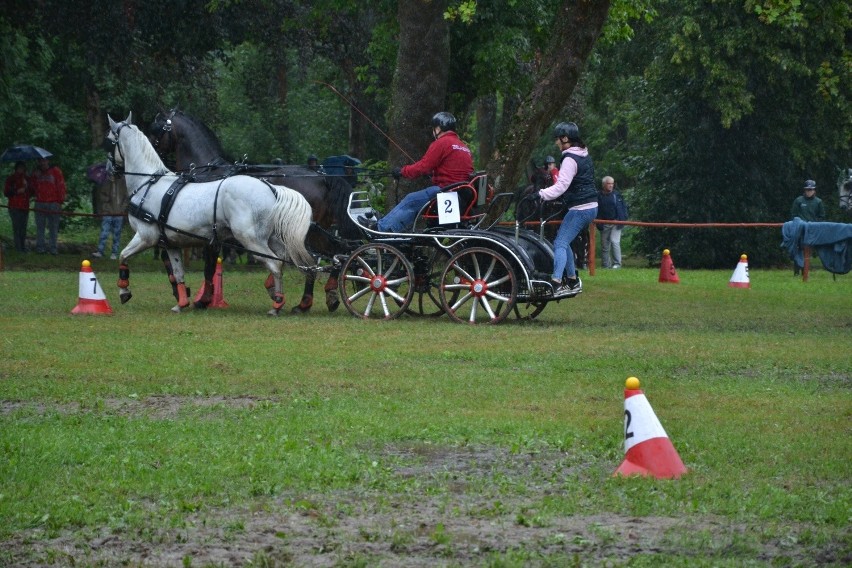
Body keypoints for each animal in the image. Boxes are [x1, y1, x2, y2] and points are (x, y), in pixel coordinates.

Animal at [108, 112, 314, 312]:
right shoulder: (171, 243)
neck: (148, 183)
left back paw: (278, 303)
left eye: (109, 140)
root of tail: (271, 188)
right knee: (284, 259)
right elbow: (178, 272)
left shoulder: (145, 236)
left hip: (251, 240)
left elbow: (123, 255)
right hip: (271, 238)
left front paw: (124, 290)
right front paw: (182, 302)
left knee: (276, 264)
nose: (109, 169)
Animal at [147, 108, 360, 312]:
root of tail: (322, 176)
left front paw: (201, 299)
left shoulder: (205, 233)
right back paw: (324, 295)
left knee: (317, 258)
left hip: (306, 232)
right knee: (337, 252)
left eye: (155, 129)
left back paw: (308, 300)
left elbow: (207, 267)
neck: (207, 171)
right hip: (316, 230)